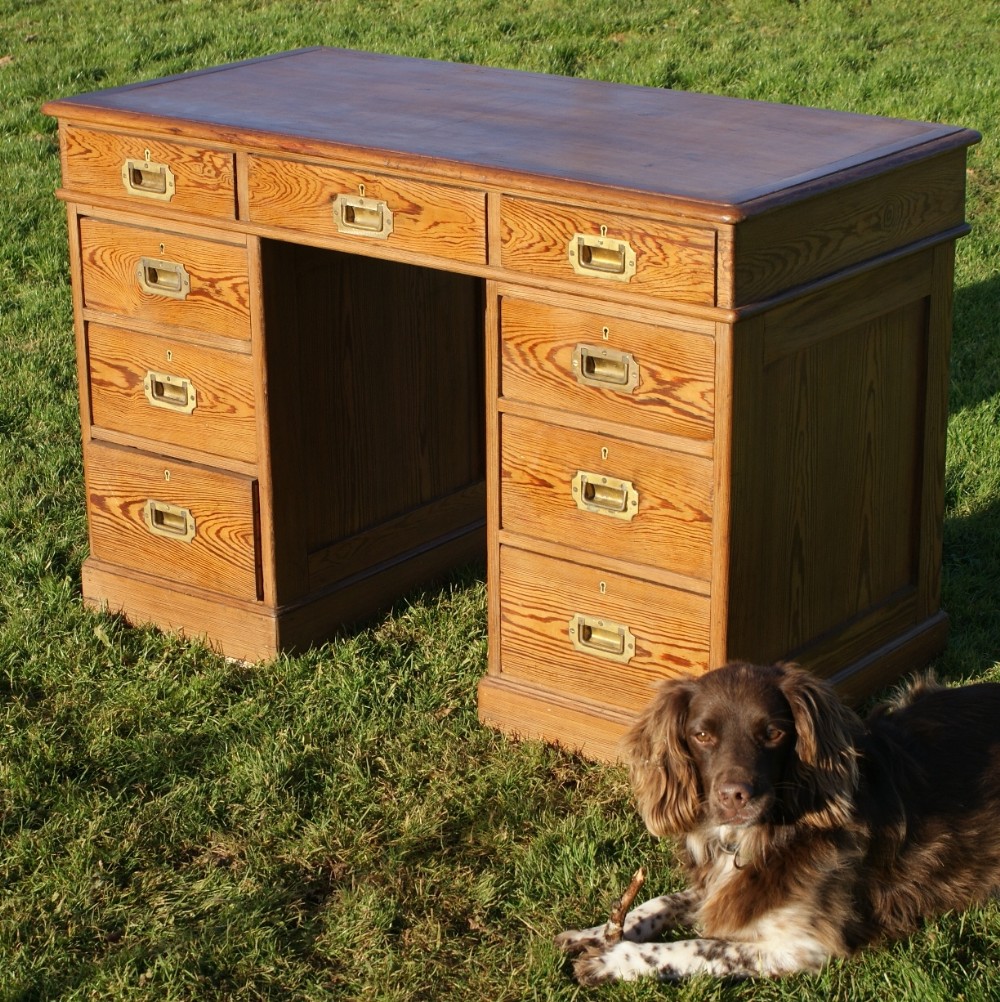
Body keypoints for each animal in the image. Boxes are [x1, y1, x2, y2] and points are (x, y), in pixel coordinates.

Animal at [557, 661, 1000, 981]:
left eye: (772, 733)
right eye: (701, 735)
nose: (734, 797)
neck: (755, 835)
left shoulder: (804, 945)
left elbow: (697, 947)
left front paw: (614, 959)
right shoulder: (725, 889)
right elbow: (660, 901)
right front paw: (593, 933)